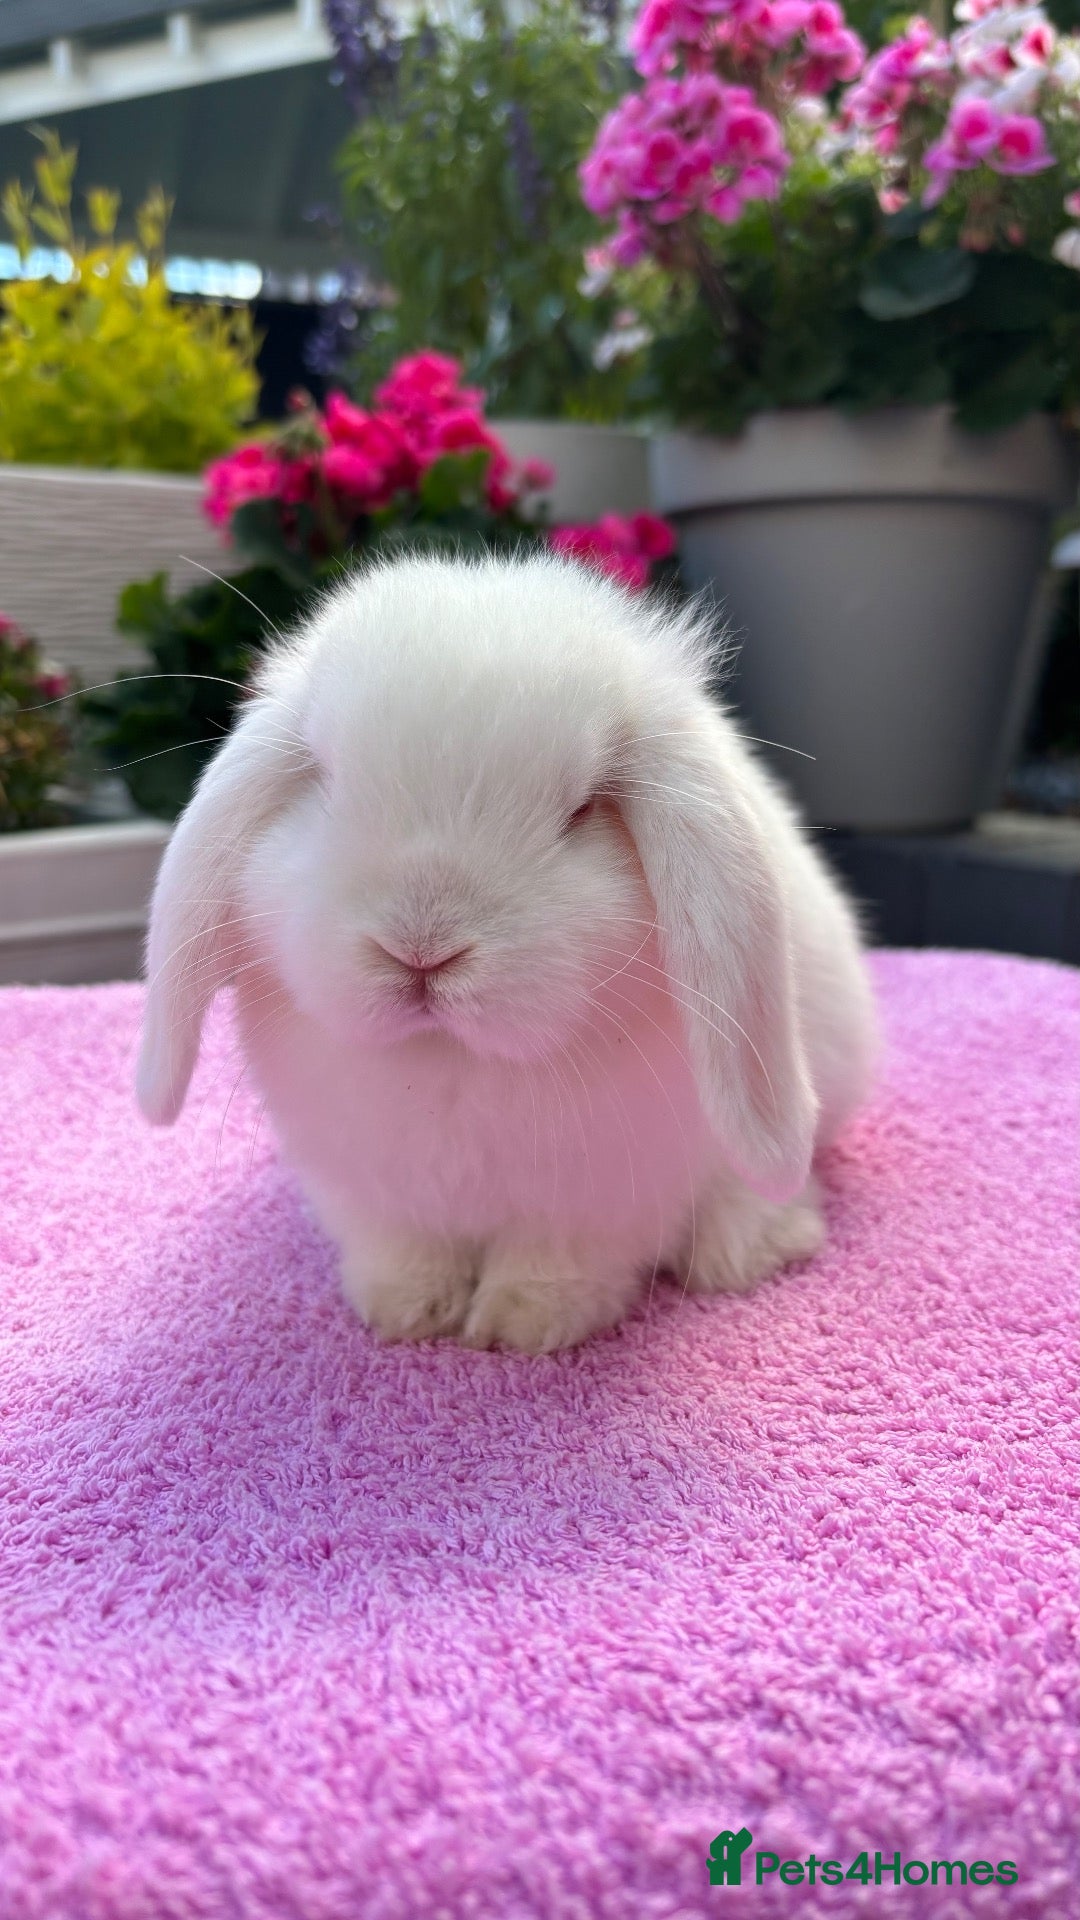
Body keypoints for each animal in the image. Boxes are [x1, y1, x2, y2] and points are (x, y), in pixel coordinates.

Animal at [137, 550, 878, 1353]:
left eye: (583, 810)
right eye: (324, 781)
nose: (421, 950)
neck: (450, 1058)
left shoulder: (607, 1195)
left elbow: (561, 1260)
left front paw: (523, 1327)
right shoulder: (370, 1188)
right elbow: (404, 1249)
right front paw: (405, 1312)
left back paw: (750, 1245)